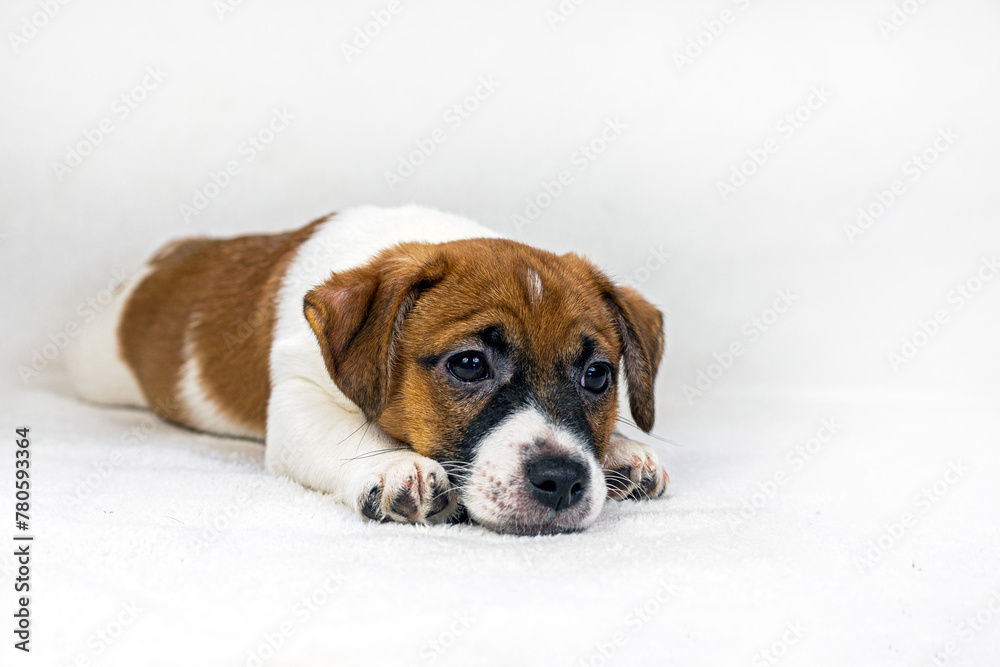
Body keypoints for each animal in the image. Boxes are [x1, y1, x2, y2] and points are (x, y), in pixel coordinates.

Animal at [66, 206, 668, 536]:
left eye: (597, 376)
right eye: (469, 364)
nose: (563, 480)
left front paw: (621, 450)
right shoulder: (297, 401)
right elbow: (350, 433)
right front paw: (395, 466)